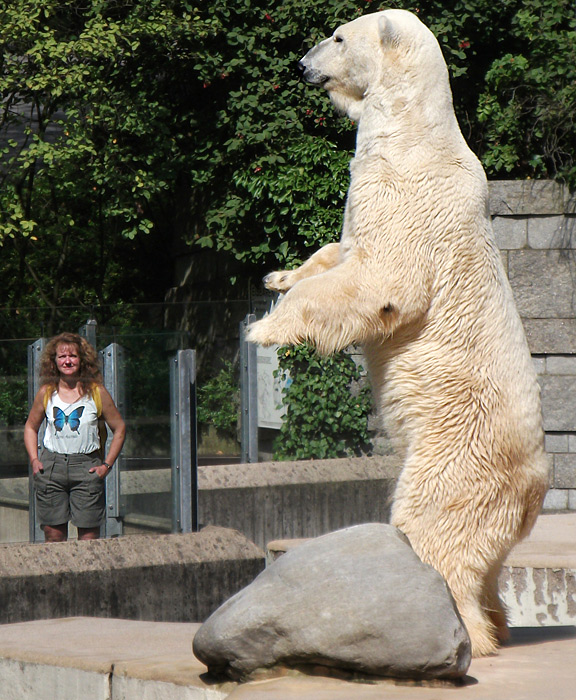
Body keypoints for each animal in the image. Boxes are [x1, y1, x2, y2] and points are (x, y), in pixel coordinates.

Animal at [249, 9, 548, 656]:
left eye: (337, 37)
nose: (302, 65)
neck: (414, 128)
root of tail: (538, 486)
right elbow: (335, 252)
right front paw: (278, 276)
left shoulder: (408, 194)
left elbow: (381, 278)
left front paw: (266, 328)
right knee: (486, 564)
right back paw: (494, 624)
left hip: (457, 454)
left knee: (434, 532)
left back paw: (454, 631)